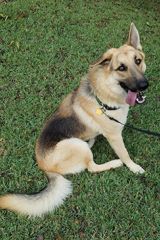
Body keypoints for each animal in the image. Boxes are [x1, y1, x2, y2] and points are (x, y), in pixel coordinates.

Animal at [0, 23, 149, 217]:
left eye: (138, 61)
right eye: (121, 68)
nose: (144, 86)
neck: (106, 92)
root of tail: (44, 168)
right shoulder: (115, 136)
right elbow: (125, 154)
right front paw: (133, 167)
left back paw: (91, 140)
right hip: (75, 145)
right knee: (91, 167)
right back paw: (114, 163)